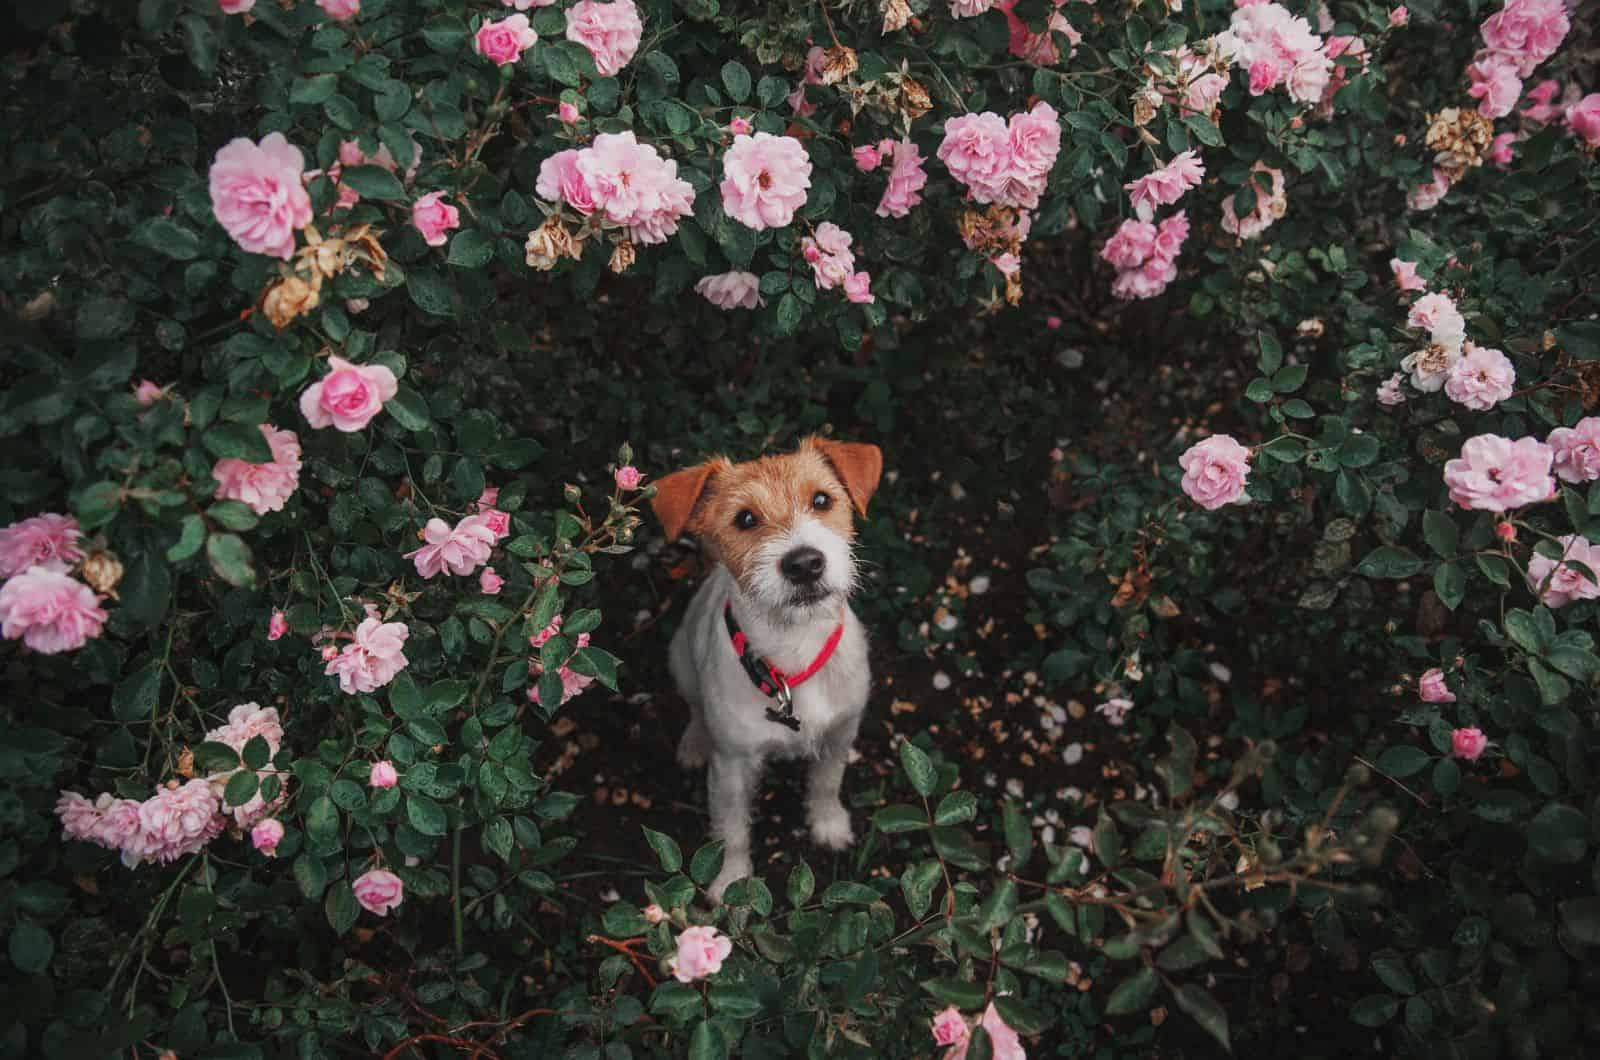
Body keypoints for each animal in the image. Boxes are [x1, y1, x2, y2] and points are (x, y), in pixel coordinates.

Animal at [646, 435, 883, 903]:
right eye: (745, 518)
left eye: (822, 499)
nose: (805, 563)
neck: (793, 650)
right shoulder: (732, 767)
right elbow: (731, 830)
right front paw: (731, 882)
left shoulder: (840, 733)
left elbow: (826, 783)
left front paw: (829, 826)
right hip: (680, 658)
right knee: (695, 707)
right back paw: (695, 741)